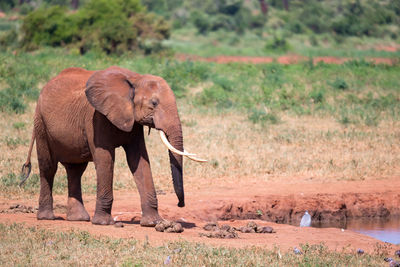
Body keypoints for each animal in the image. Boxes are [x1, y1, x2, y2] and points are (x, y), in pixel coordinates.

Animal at [20, 66, 205, 227]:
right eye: (154, 103)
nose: (180, 204)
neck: (135, 78)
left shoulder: (132, 120)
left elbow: (139, 160)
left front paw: (153, 223)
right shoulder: (96, 117)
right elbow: (105, 159)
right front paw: (104, 223)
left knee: (75, 170)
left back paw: (78, 219)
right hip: (40, 123)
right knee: (48, 167)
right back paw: (46, 217)